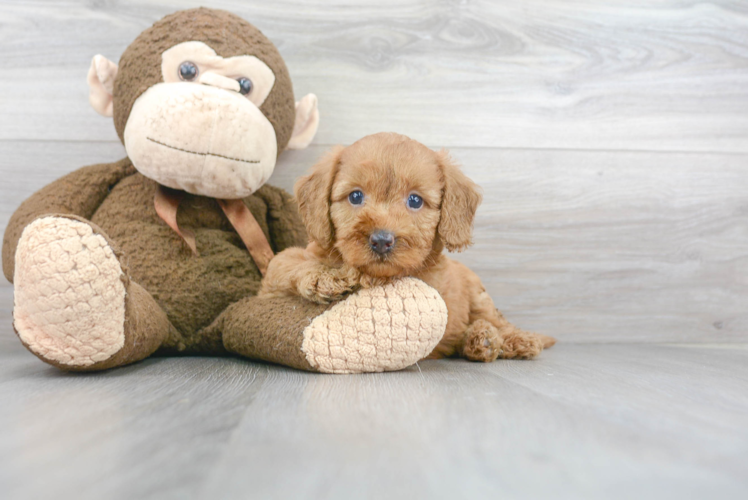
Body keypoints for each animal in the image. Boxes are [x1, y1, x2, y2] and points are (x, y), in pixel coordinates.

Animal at [260, 132, 552, 360]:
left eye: (415, 200)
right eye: (355, 196)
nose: (381, 240)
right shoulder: (270, 285)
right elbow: (285, 262)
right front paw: (324, 275)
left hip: (480, 296)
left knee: (497, 321)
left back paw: (507, 339)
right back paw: (479, 340)